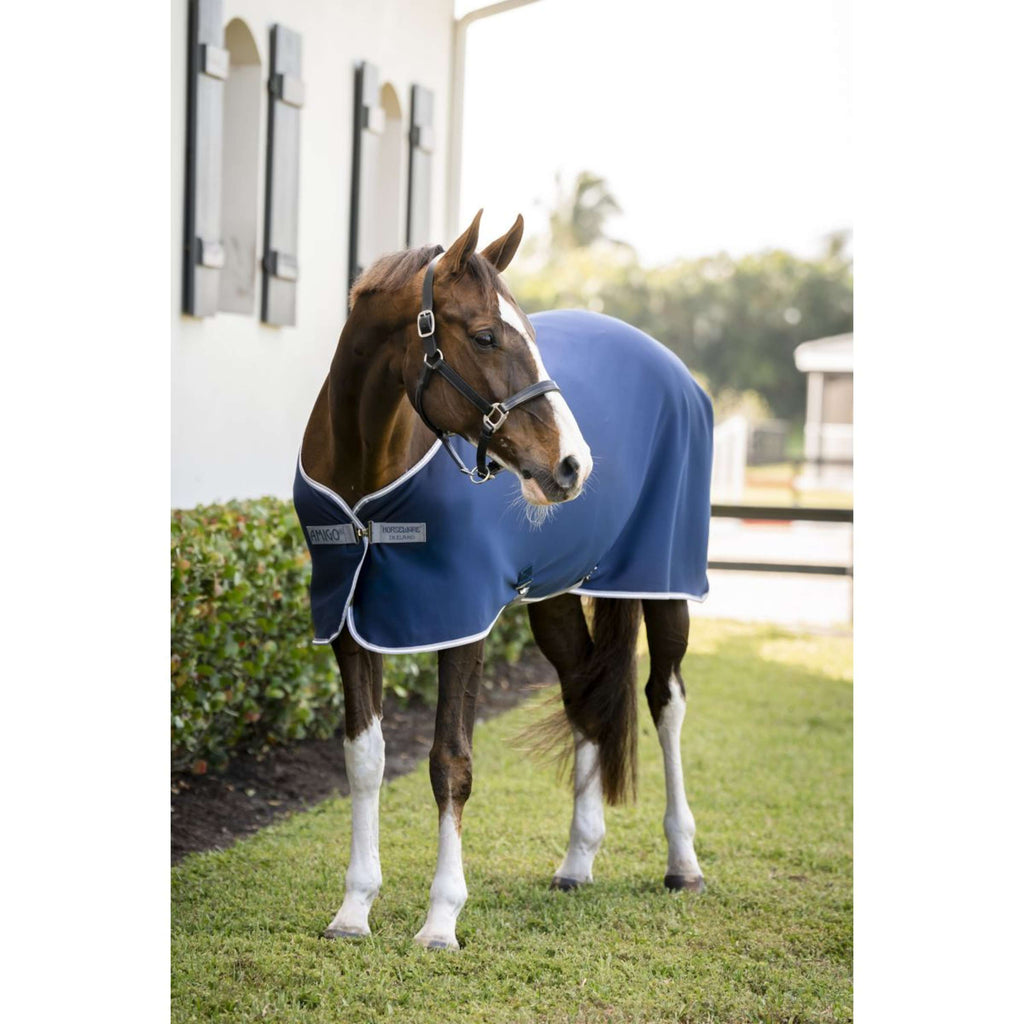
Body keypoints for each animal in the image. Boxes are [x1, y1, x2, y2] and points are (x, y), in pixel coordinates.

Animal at [295, 211, 713, 950]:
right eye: (486, 335)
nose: (573, 465)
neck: (367, 473)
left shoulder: (459, 616)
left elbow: (450, 762)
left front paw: (440, 919)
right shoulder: (351, 620)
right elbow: (364, 759)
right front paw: (354, 908)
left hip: (667, 585)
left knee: (665, 700)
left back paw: (682, 862)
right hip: (556, 598)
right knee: (585, 695)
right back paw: (577, 861)